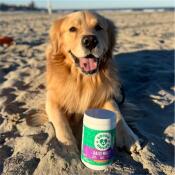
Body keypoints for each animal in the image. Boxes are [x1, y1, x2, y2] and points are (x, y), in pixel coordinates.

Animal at [44, 10, 140, 152]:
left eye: (98, 27)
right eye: (72, 29)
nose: (90, 41)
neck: (83, 79)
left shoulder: (105, 94)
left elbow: (116, 111)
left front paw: (128, 135)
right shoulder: (52, 99)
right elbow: (60, 121)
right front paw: (67, 147)